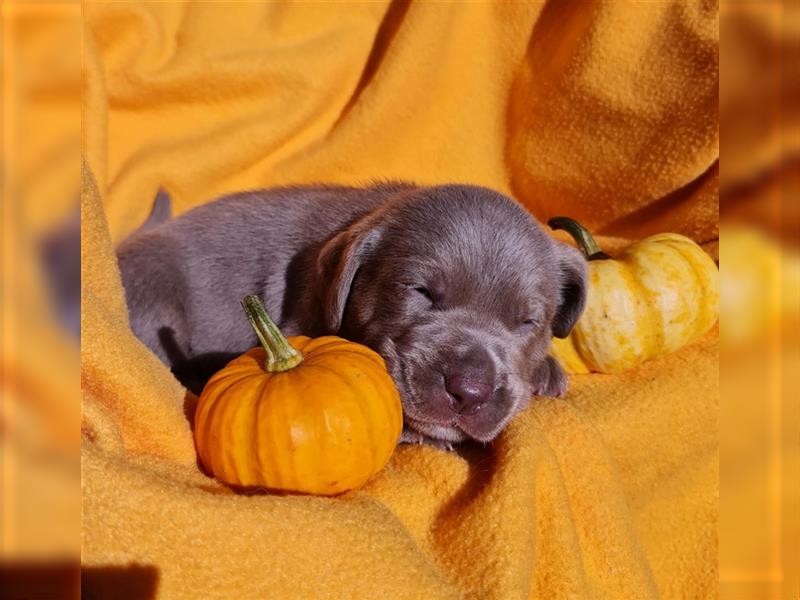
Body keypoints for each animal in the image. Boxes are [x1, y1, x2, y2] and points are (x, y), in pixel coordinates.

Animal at [115, 185, 584, 448]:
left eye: (527, 322)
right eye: (420, 292)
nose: (468, 392)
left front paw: (545, 370)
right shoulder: (297, 325)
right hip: (154, 293)